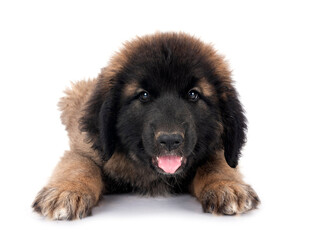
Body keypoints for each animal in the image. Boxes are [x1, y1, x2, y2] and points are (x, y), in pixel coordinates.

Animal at [33, 32, 260, 220]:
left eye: (193, 94)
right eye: (143, 95)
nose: (170, 140)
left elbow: (216, 163)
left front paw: (227, 186)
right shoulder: (85, 148)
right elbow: (79, 165)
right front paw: (68, 190)